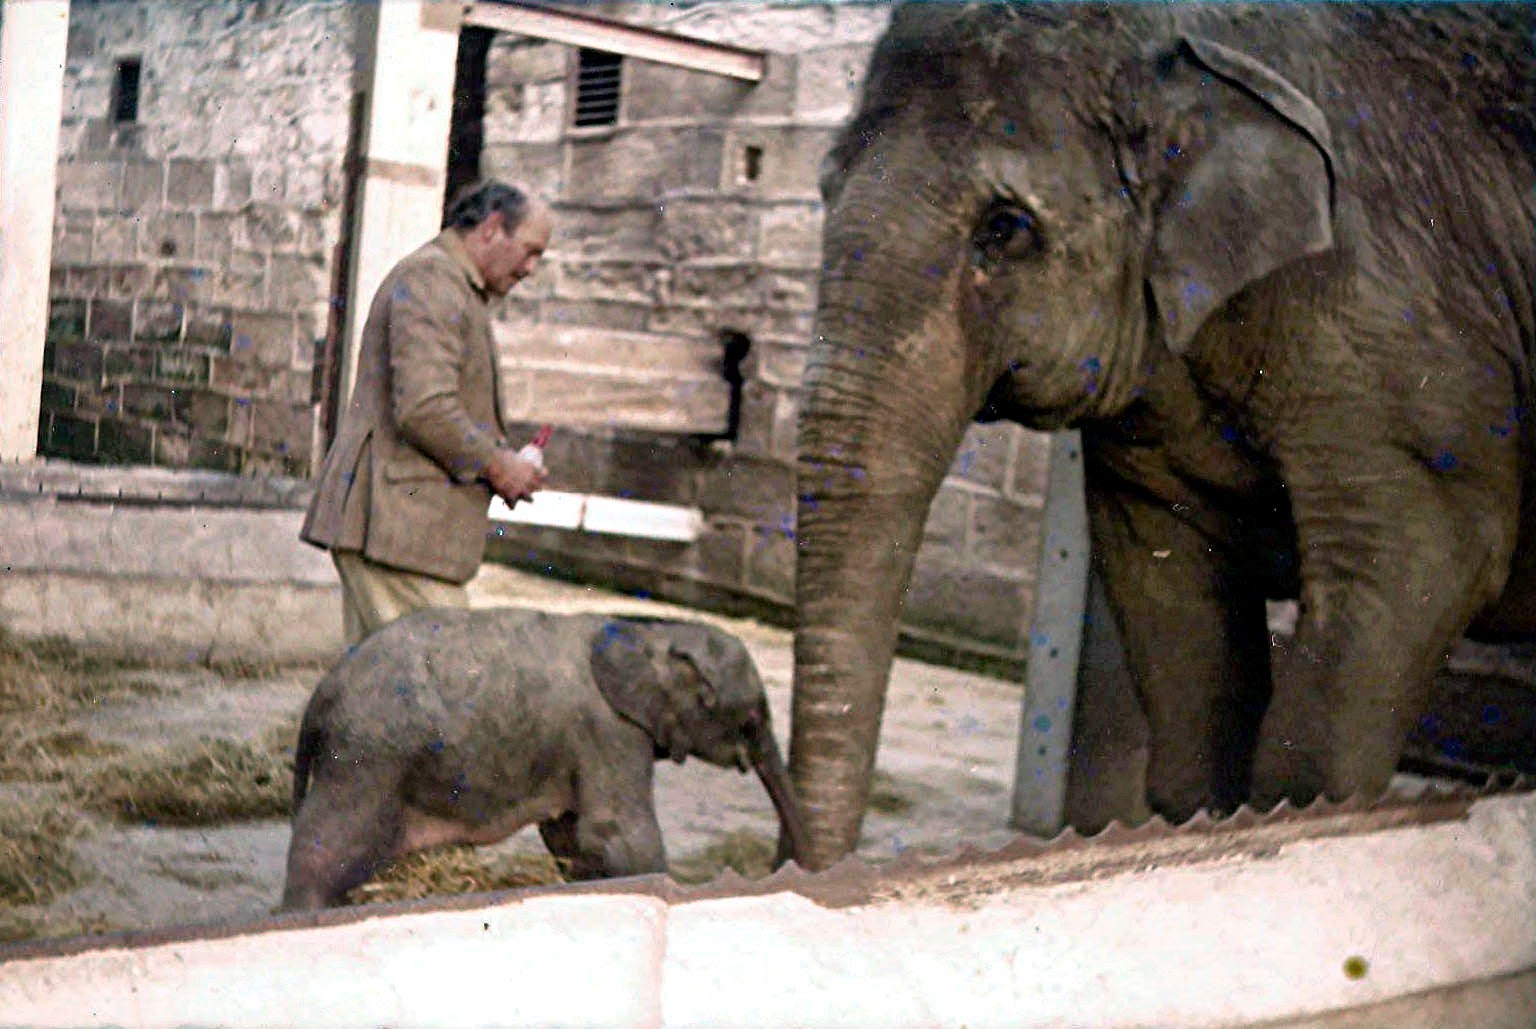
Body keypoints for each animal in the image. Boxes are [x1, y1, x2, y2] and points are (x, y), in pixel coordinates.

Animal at [278, 608, 811, 915]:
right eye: (753, 718)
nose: (791, 869)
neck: (651, 631)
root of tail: (321, 693)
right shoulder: (608, 729)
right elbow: (618, 833)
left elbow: (570, 835)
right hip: (365, 759)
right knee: (327, 849)